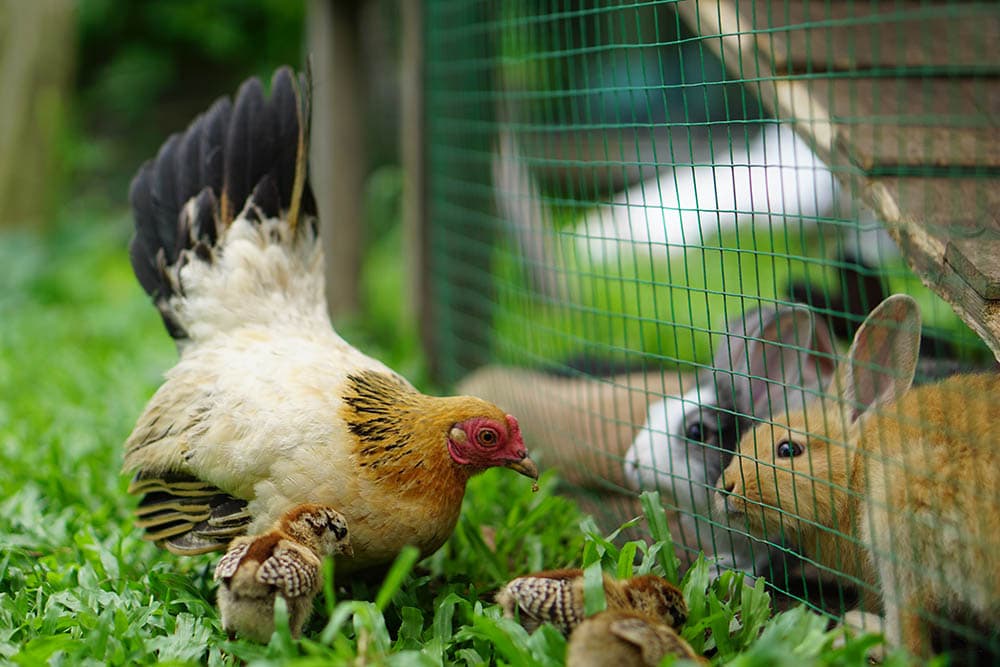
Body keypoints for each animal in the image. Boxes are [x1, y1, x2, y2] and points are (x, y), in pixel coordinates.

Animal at [717, 294, 1000, 659]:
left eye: (788, 449)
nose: (726, 487)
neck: (853, 467)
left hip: (897, 518)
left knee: (911, 644)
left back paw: (859, 630)